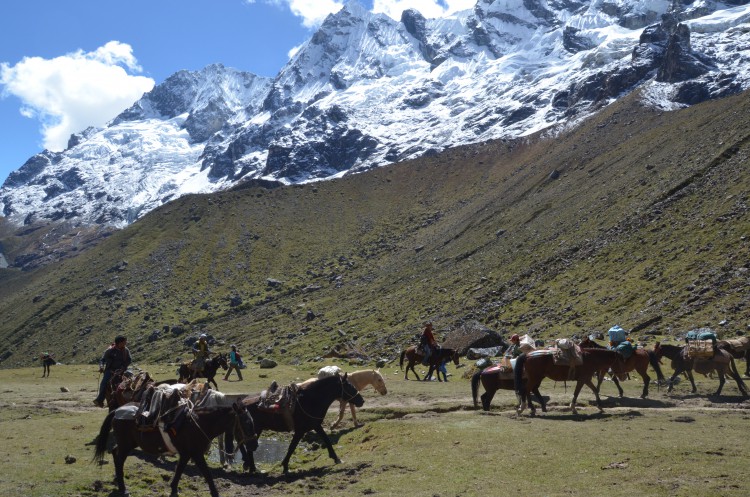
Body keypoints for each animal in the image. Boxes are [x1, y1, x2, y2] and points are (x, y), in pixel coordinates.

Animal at [93, 402, 258, 496]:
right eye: (246, 422)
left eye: (252, 421)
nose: (254, 445)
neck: (199, 424)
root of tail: (117, 411)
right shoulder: (196, 454)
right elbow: (207, 474)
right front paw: (215, 492)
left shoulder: (186, 454)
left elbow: (179, 470)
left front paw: (173, 488)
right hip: (126, 444)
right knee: (119, 458)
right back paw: (123, 488)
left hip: (129, 443)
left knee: (115, 453)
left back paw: (118, 481)